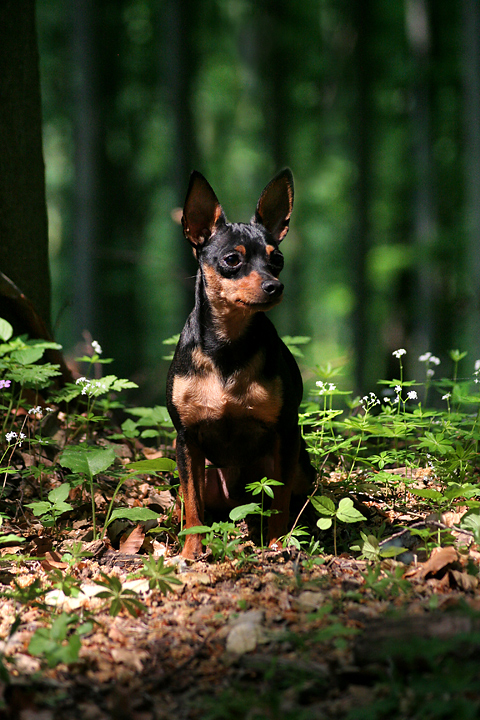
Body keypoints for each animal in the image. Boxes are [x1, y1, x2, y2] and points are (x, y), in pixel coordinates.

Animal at [167, 172, 314, 560]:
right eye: (232, 259)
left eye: (277, 260)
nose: (275, 285)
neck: (227, 346)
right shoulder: (187, 440)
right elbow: (194, 507)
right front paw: (191, 552)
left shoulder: (285, 433)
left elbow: (279, 502)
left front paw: (277, 546)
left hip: (299, 466)